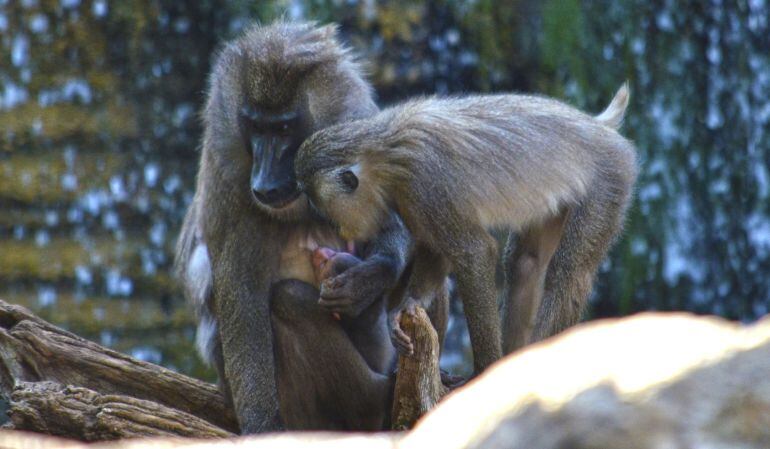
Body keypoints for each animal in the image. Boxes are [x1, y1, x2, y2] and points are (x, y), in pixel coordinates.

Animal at [176, 21, 444, 430]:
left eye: (285, 128)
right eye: (255, 127)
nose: (265, 182)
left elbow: (394, 223)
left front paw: (368, 279)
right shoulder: (228, 180)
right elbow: (241, 293)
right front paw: (261, 426)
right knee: (288, 301)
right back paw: (373, 402)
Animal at [296, 85, 636, 374]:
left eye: (324, 209)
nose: (341, 229)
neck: (386, 152)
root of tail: (599, 127)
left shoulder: (425, 182)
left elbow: (474, 253)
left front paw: (485, 370)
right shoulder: (410, 198)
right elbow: (435, 250)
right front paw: (407, 305)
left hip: (611, 176)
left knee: (569, 274)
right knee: (525, 265)